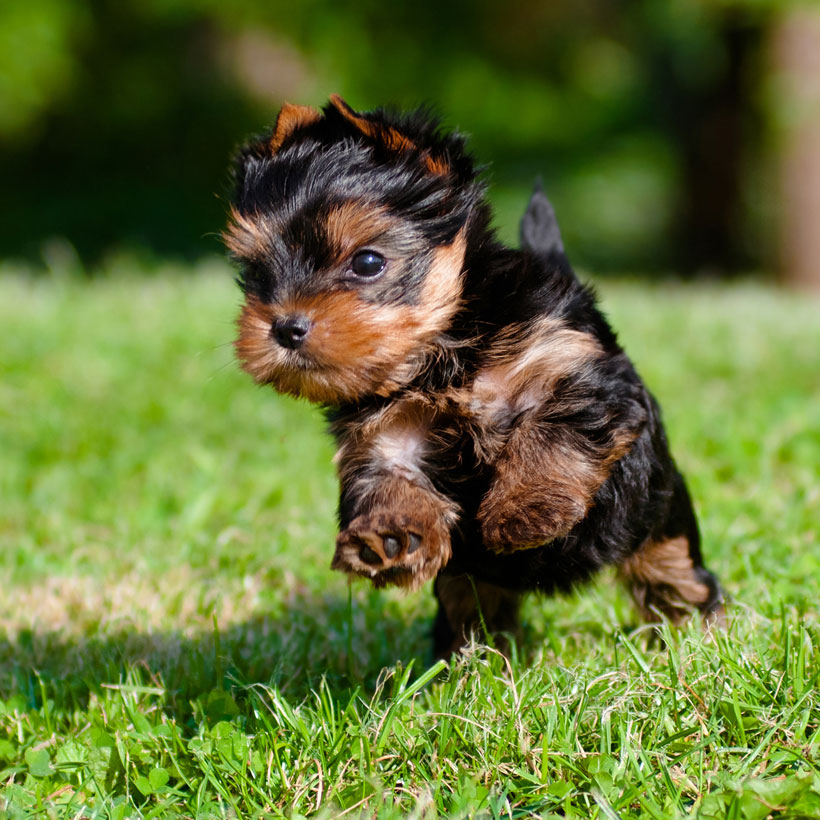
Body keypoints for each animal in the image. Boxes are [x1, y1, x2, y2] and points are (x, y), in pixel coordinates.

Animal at [224, 96, 724, 656]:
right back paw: (473, 663)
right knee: (472, 607)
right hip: (471, 581)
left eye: (368, 262)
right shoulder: (386, 434)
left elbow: (556, 428)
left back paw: (698, 640)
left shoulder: (584, 374)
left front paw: (526, 508)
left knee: (675, 573)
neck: (441, 354)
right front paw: (387, 538)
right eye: (256, 273)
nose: (285, 328)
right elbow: (389, 482)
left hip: (658, 518)